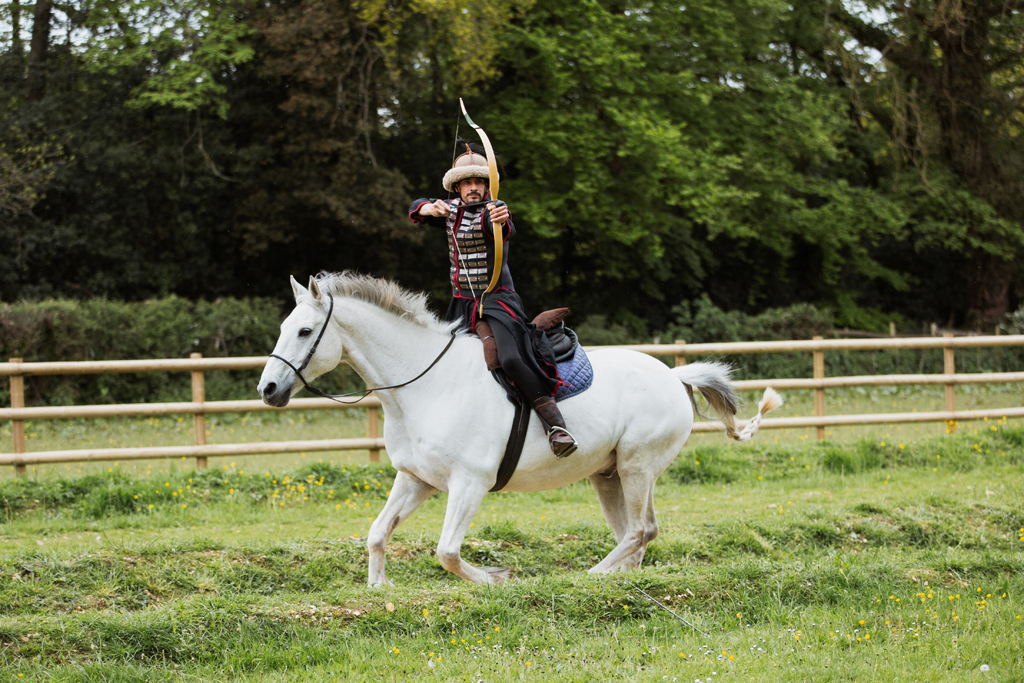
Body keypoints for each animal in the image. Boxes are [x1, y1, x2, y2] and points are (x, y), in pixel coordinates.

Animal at [260, 272, 778, 589]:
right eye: (285, 326)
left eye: (304, 331)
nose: (268, 389)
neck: (426, 385)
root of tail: (674, 375)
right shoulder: (417, 480)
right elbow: (376, 533)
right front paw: (379, 587)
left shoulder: (469, 484)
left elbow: (448, 552)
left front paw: (496, 579)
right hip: (610, 475)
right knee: (636, 534)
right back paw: (619, 579)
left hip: (637, 467)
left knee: (639, 531)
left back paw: (591, 576)